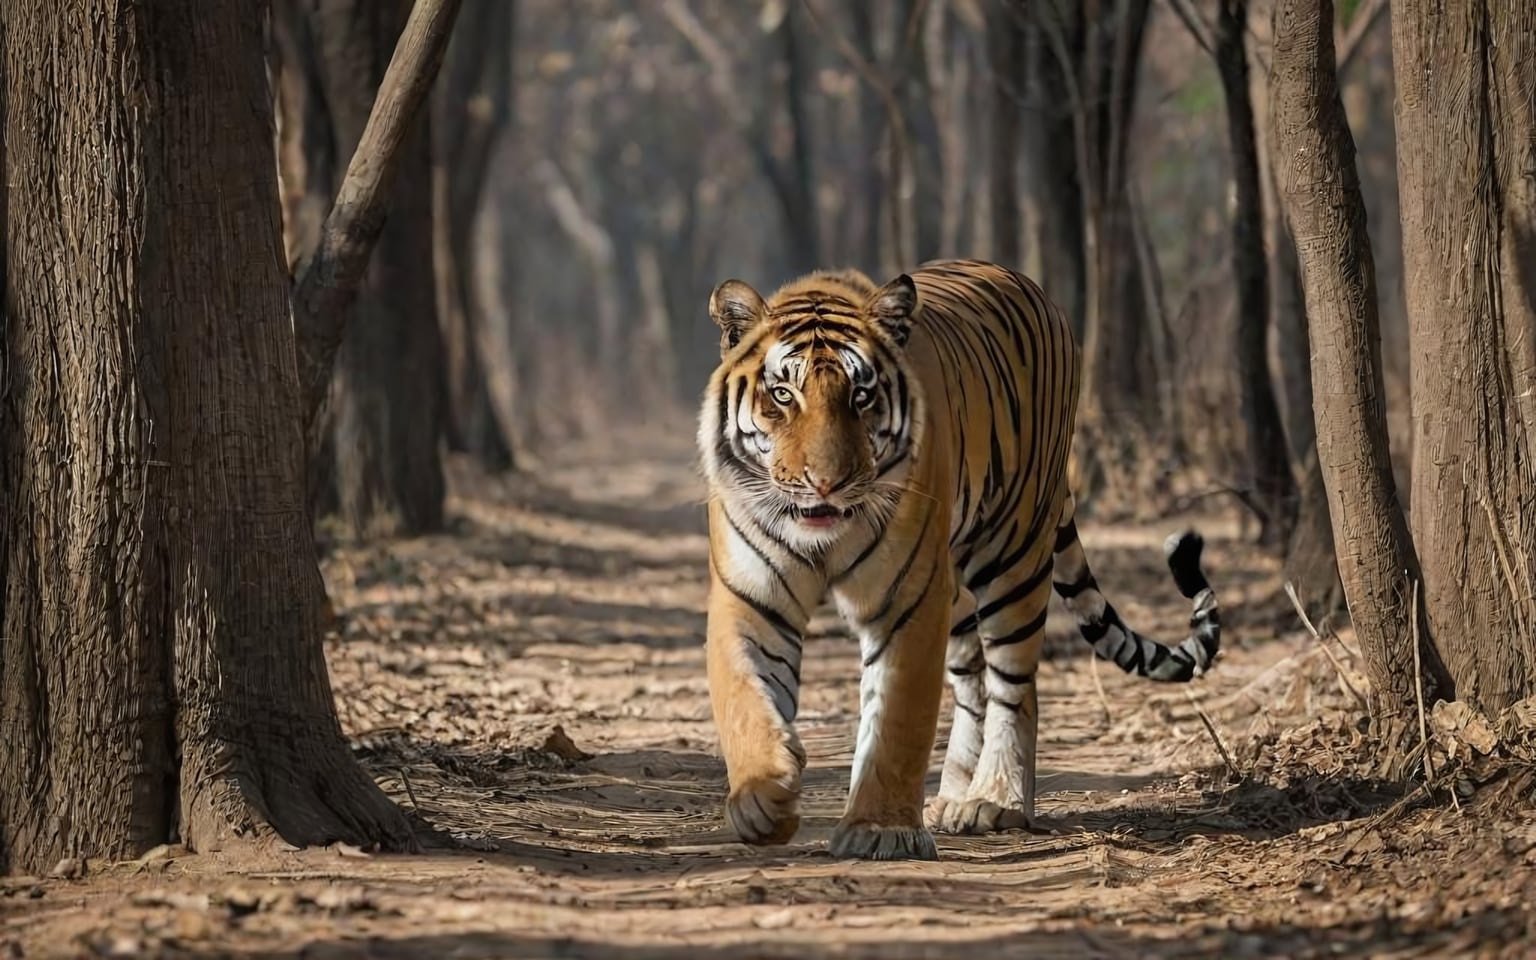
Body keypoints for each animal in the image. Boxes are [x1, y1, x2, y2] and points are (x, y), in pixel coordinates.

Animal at [696, 258, 1220, 861]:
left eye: (861, 395)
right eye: (782, 394)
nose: (826, 484)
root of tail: (1027, 284)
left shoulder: (908, 601)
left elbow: (898, 719)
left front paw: (880, 830)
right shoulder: (751, 597)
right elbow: (744, 697)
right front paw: (763, 797)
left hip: (1014, 554)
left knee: (1015, 687)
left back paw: (996, 799)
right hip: (958, 591)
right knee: (974, 687)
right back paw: (952, 797)